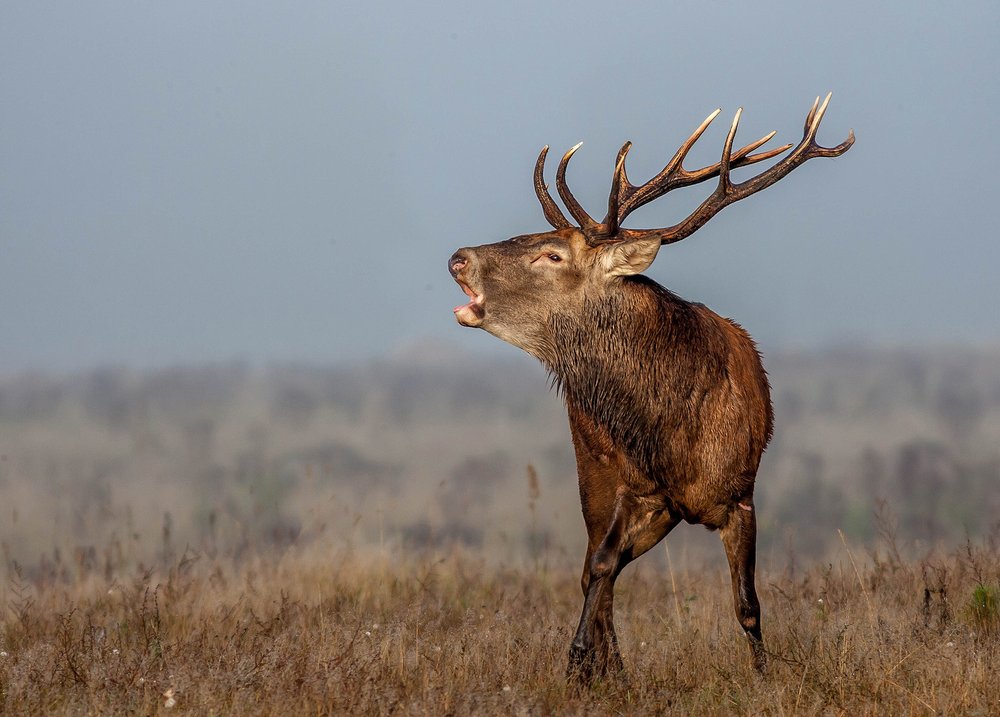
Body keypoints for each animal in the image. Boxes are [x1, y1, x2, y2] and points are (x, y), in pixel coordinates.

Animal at [448, 93, 853, 683]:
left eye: (552, 255)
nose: (457, 257)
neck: (673, 435)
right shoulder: (630, 487)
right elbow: (600, 568)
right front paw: (578, 661)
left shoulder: (740, 495)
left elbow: (748, 604)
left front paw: (764, 674)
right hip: (593, 474)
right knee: (594, 568)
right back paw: (608, 665)